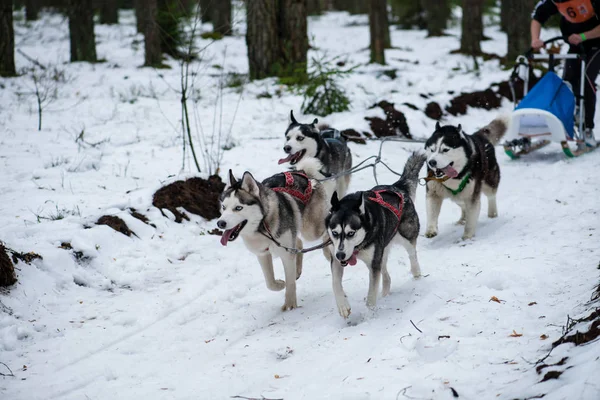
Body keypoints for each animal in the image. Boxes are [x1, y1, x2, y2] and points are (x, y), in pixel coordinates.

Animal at [217, 161, 332, 310]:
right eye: (224, 207)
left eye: (238, 208)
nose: (220, 223)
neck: (262, 226)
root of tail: (303, 173)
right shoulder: (262, 254)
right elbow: (270, 282)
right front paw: (280, 284)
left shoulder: (286, 254)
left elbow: (290, 283)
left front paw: (290, 305)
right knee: (299, 243)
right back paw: (297, 270)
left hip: (312, 229)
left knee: (325, 229)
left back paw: (329, 252)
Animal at [324, 152, 426, 318]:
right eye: (335, 233)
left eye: (351, 233)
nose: (340, 255)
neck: (358, 247)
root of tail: (397, 187)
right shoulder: (336, 259)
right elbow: (335, 283)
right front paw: (343, 306)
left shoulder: (373, 264)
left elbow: (371, 294)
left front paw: (369, 314)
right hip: (381, 252)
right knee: (386, 275)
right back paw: (385, 293)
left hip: (406, 236)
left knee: (412, 255)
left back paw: (417, 274)